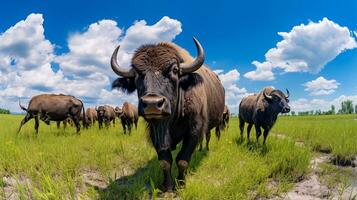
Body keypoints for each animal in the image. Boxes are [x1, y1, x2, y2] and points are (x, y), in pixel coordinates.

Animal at [110, 36, 224, 191]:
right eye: (136, 74)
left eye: (175, 70)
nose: (152, 104)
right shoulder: (155, 132)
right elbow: (165, 161)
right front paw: (168, 186)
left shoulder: (194, 129)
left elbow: (182, 159)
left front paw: (181, 184)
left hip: (216, 123)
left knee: (209, 137)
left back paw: (205, 149)